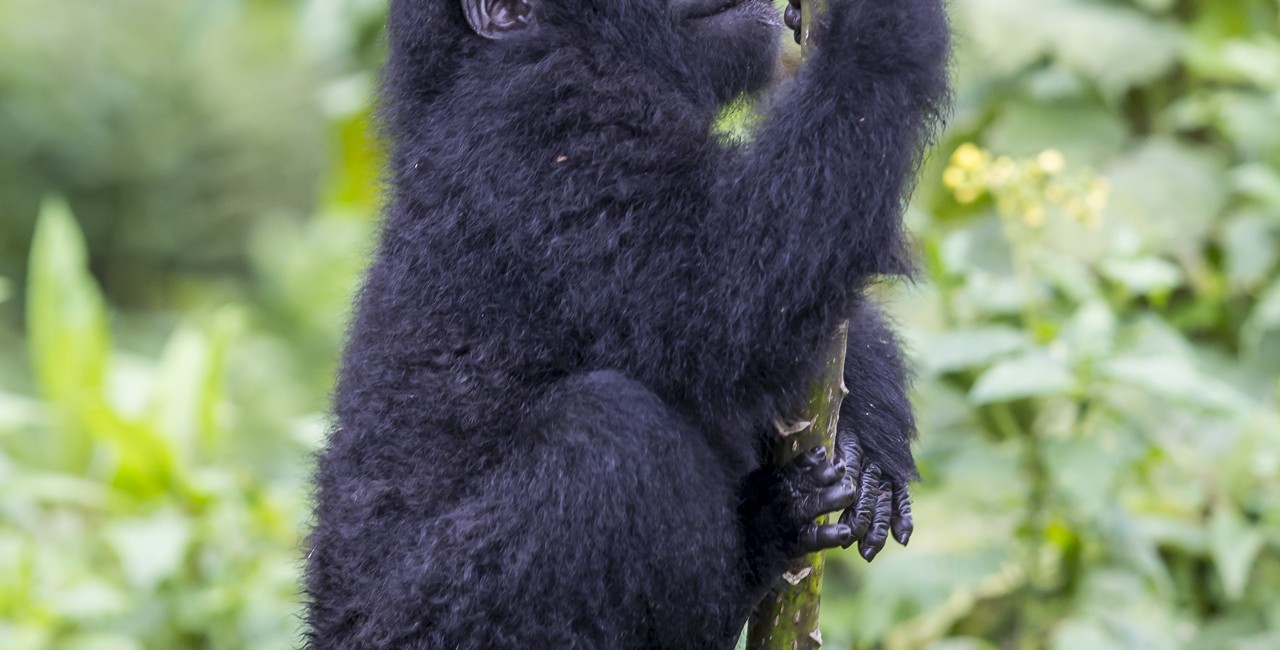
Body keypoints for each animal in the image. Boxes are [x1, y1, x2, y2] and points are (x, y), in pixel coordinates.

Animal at [302, 0, 952, 644]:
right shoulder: (548, 125)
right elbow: (720, 293)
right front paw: (879, 23)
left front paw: (868, 433)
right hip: (433, 626)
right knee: (608, 428)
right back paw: (762, 536)